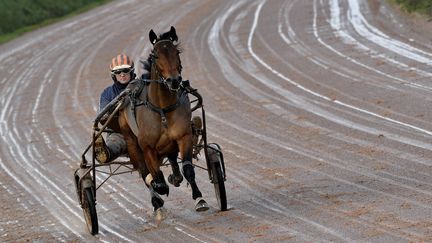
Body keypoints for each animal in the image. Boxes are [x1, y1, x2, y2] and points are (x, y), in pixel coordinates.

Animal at [116, 25, 208, 214]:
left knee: (171, 158)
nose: (174, 80)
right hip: (131, 142)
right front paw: (160, 189)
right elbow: (155, 178)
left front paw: (199, 199)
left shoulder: (183, 137)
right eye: (155, 55)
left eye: (176, 52)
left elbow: (188, 168)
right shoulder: (147, 147)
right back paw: (157, 202)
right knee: (144, 173)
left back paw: (174, 177)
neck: (162, 109)